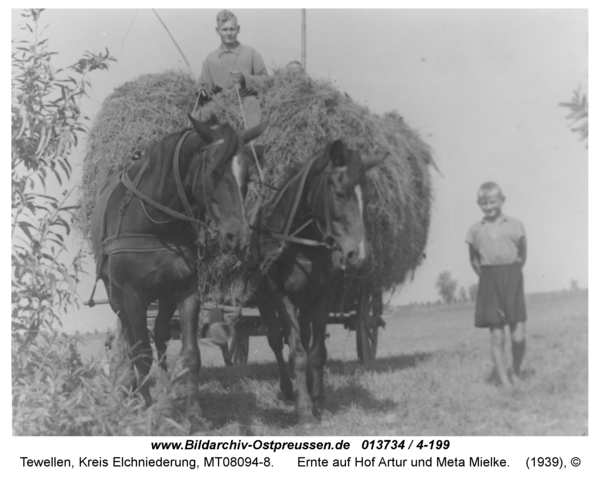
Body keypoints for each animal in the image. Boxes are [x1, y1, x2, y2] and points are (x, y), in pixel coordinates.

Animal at [88, 114, 264, 434]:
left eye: (248, 176)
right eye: (214, 171)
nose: (239, 237)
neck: (156, 222)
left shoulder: (187, 292)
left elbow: (191, 354)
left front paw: (194, 417)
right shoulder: (132, 295)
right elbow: (141, 352)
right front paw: (147, 410)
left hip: (164, 298)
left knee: (159, 335)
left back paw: (165, 396)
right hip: (115, 294)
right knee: (130, 339)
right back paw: (131, 388)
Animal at [246, 139, 382, 424]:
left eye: (366, 198)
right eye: (339, 194)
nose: (356, 254)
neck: (299, 239)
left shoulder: (323, 294)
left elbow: (316, 351)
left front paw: (318, 399)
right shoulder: (279, 294)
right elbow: (296, 353)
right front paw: (306, 410)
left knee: (305, 337)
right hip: (263, 296)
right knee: (276, 340)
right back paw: (288, 389)